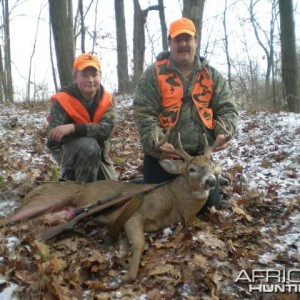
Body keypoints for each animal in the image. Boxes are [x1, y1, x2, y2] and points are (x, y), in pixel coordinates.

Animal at [0, 121, 231, 282]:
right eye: (192, 169)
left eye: (212, 167)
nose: (211, 181)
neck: (174, 201)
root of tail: (32, 191)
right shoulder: (135, 214)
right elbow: (139, 244)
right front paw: (127, 275)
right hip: (48, 199)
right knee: (9, 219)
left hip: (57, 213)